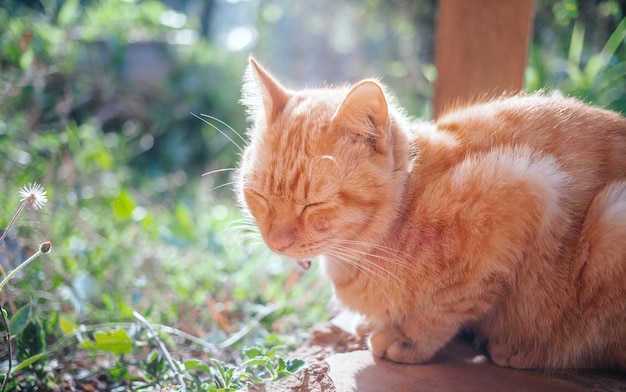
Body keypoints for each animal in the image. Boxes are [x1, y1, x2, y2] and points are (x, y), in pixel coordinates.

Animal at [236, 56, 624, 370]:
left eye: (314, 204)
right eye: (259, 197)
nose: (277, 242)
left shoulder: (525, 188)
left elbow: (448, 304)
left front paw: (407, 338)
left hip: (611, 216)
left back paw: (524, 350)